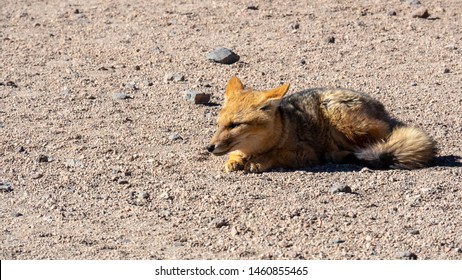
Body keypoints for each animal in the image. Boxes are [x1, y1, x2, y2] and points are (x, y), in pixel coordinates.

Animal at [206, 76, 436, 173]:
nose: (209, 147)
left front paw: (260, 161)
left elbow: (277, 154)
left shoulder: (306, 153)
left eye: (235, 125)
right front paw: (235, 159)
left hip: (337, 114)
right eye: (218, 125)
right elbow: (235, 154)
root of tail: (385, 111)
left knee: (378, 142)